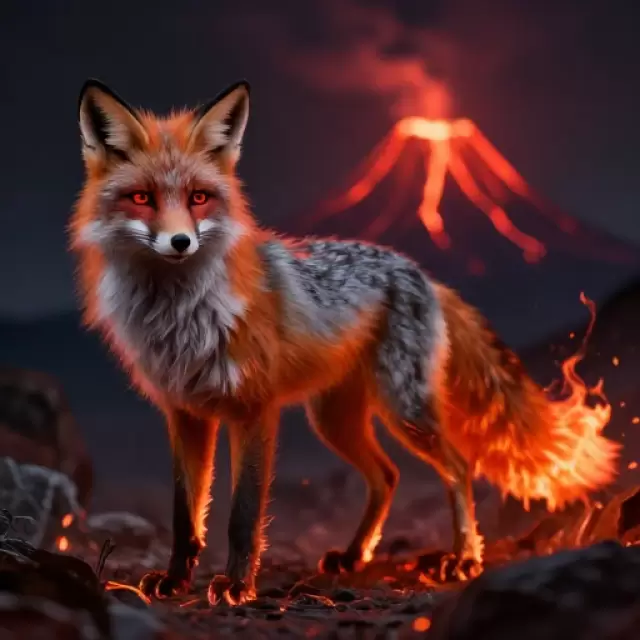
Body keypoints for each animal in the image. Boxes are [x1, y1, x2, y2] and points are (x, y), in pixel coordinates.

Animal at [70, 78, 620, 605]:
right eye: (142, 197)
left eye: (199, 198)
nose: (181, 242)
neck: (181, 316)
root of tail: (423, 274)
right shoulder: (185, 413)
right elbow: (186, 515)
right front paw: (175, 579)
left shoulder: (254, 410)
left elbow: (243, 515)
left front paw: (237, 587)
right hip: (334, 420)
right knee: (388, 475)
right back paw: (355, 555)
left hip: (403, 409)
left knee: (459, 466)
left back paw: (463, 558)